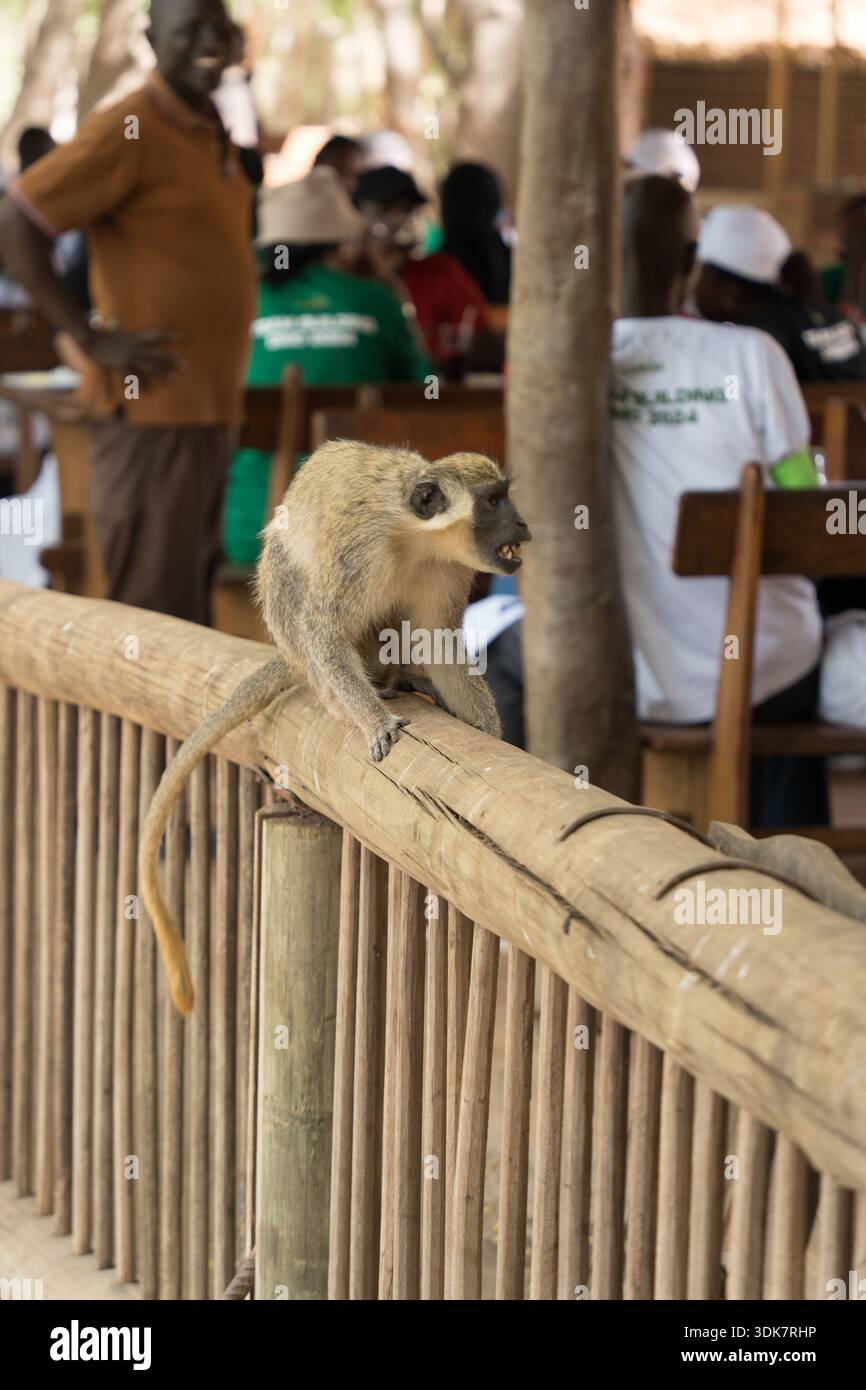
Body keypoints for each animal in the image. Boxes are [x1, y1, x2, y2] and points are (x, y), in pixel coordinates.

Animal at [139, 439, 531, 1013]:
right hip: (292, 629)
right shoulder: (357, 553)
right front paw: (374, 721)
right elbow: (324, 628)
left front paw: (489, 736)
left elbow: (438, 642)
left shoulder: (444, 572)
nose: (522, 523)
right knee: (298, 596)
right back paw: (357, 695)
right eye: (493, 500)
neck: (414, 537)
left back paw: (399, 678)